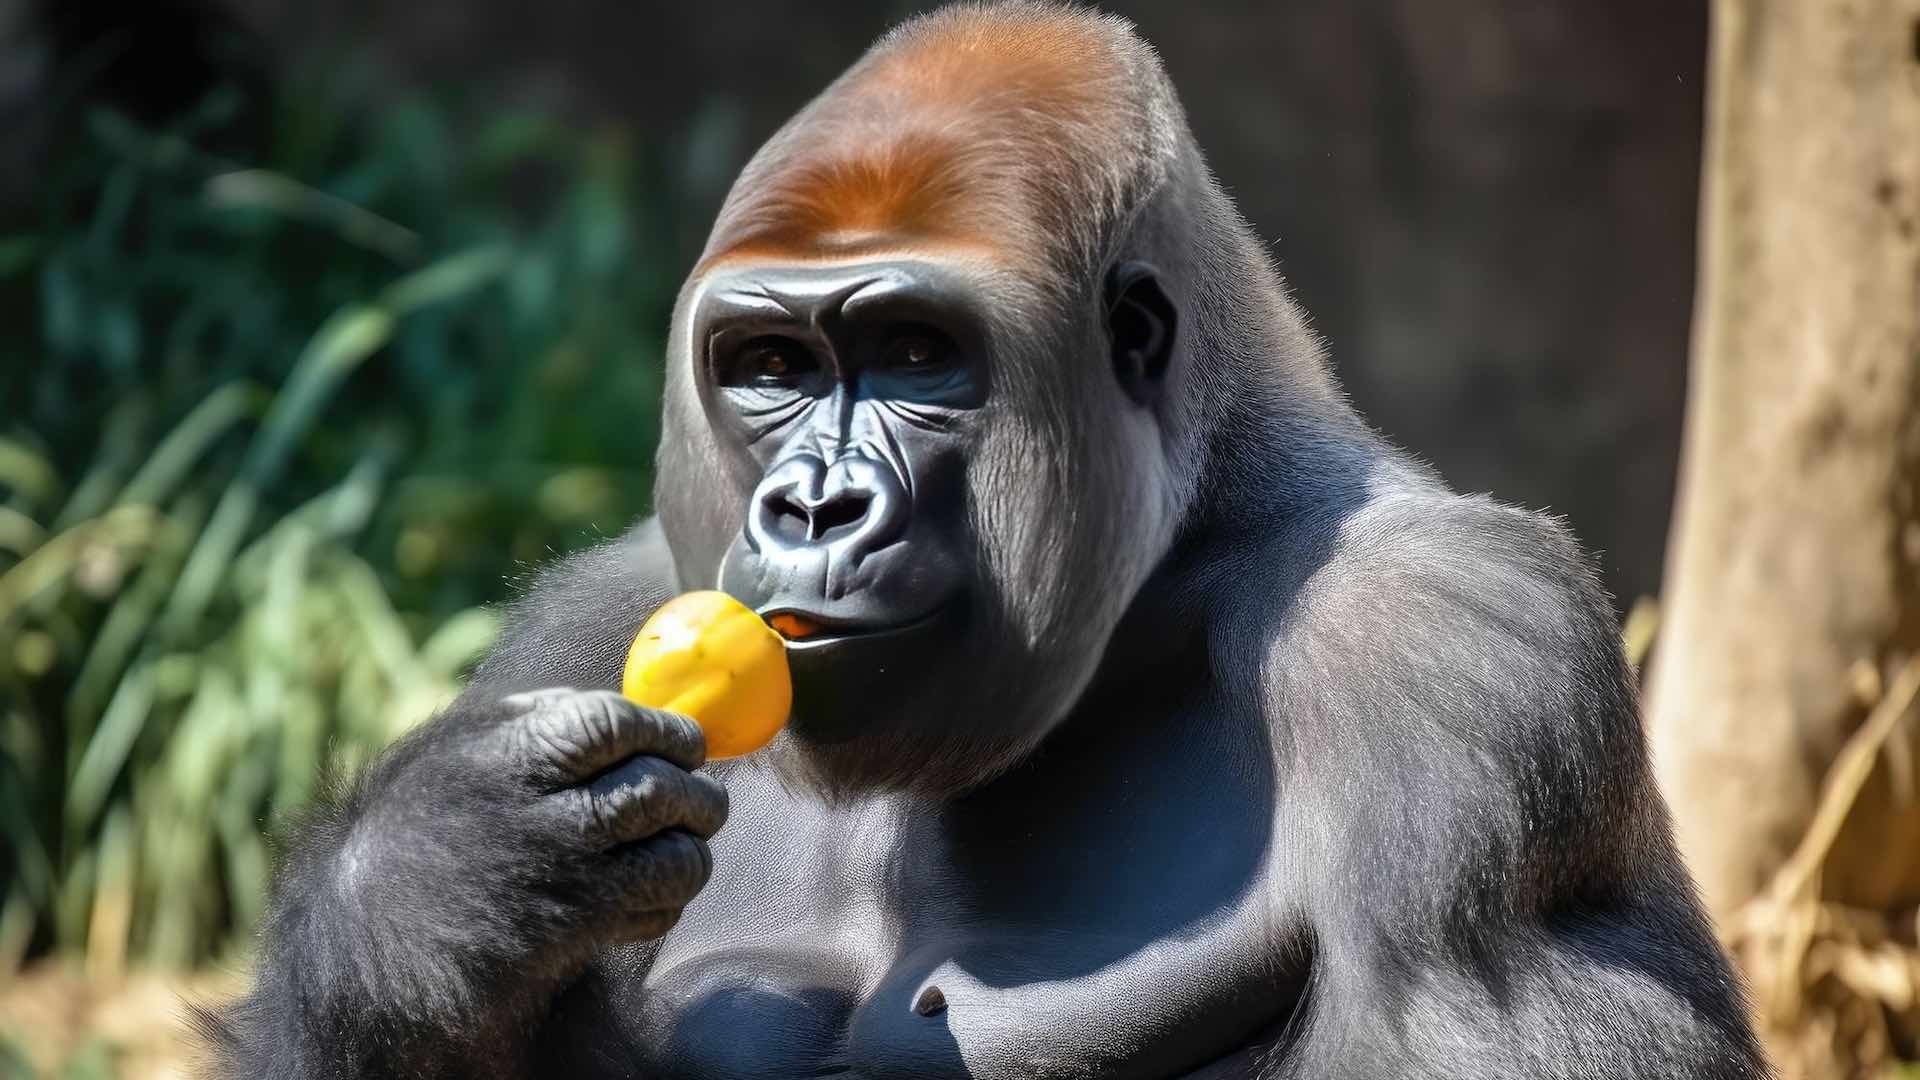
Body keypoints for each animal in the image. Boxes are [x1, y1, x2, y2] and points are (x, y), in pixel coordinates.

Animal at [198, 4, 1766, 1068]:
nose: (812, 507)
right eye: (768, 366)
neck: (1192, 534)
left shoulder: (1451, 645)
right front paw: (422, 887)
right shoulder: (581, 625)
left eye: (914, 355)